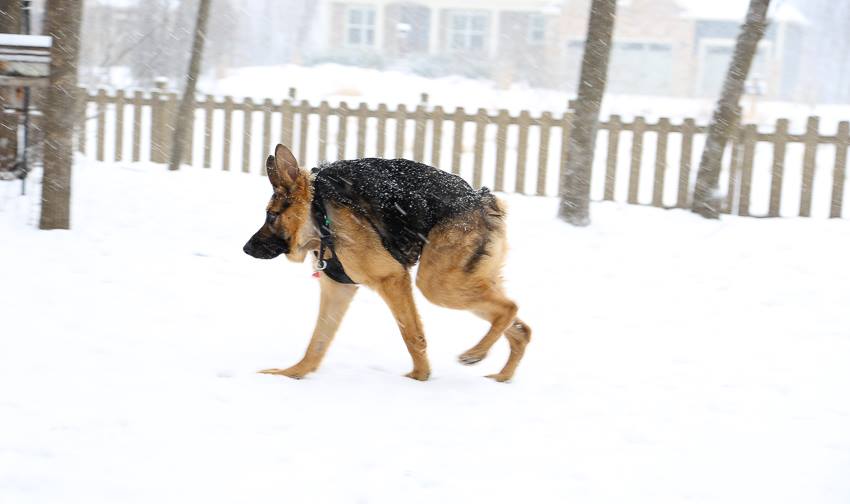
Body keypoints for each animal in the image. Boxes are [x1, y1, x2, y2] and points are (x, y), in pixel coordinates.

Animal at [240, 144, 528, 380]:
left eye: (272, 215)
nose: (246, 248)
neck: (318, 213)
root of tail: (481, 198)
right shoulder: (338, 289)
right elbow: (317, 342)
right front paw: (292, 373)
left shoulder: (392, 279)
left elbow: (412, 334)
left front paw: (419, 377)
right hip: (464, 281)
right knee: (521, 328)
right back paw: (502, 376)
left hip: (438, 284)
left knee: (509, 308)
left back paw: (475, 353)